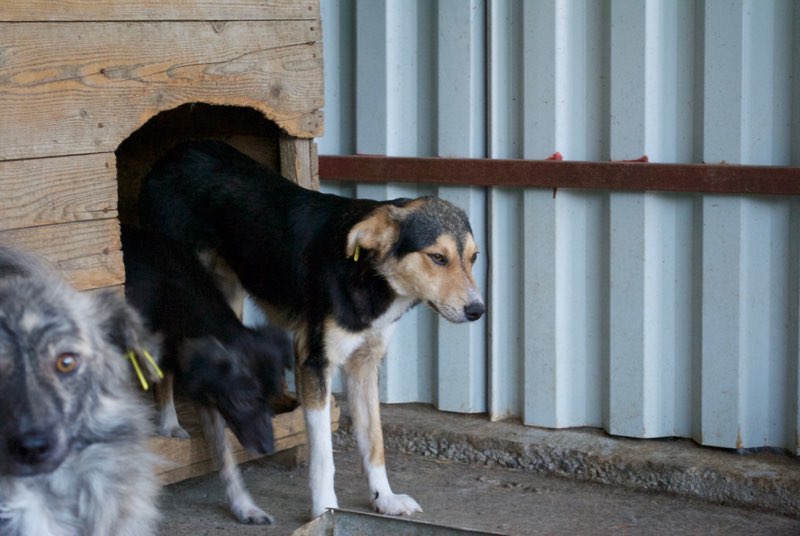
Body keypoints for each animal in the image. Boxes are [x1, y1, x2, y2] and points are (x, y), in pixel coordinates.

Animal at [140, 140, 484, 516]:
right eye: (437, 258)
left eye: (474, 258)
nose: (478, 310)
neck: (368, 276)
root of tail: (176, 153)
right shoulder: (315, 363)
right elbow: (323, 456)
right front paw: (325, 508)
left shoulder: (365, 363)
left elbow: (374, 441)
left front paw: (385, 498)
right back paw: (170, 423)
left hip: (227, 295)